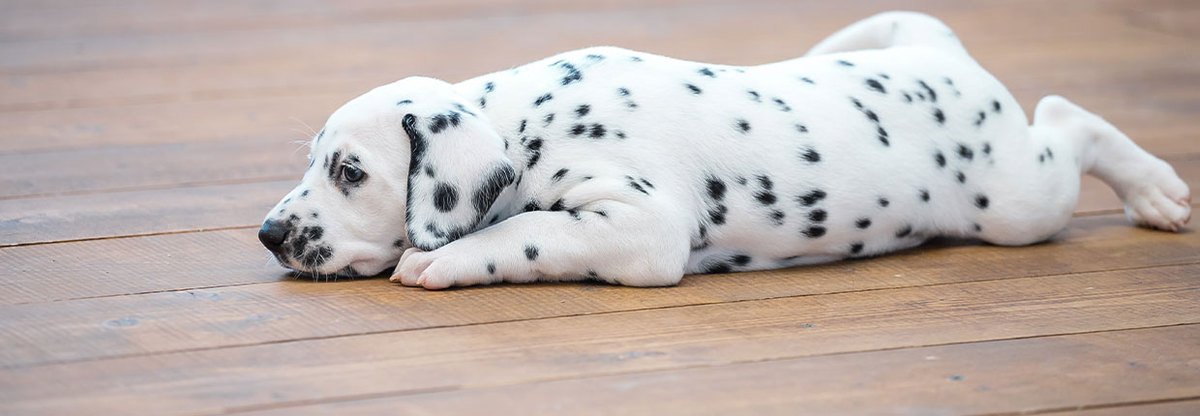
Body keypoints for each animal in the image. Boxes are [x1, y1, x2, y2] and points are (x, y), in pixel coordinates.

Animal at [258, 10, 1185, 290]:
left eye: (350, 172)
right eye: (311, 161)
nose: (267, 234)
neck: (530, 119)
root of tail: (943, 53)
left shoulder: (640, 228)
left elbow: (527, 232)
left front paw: (442, 260)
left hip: (1019, 199)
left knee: (1068, 119)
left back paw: (1157, 191)